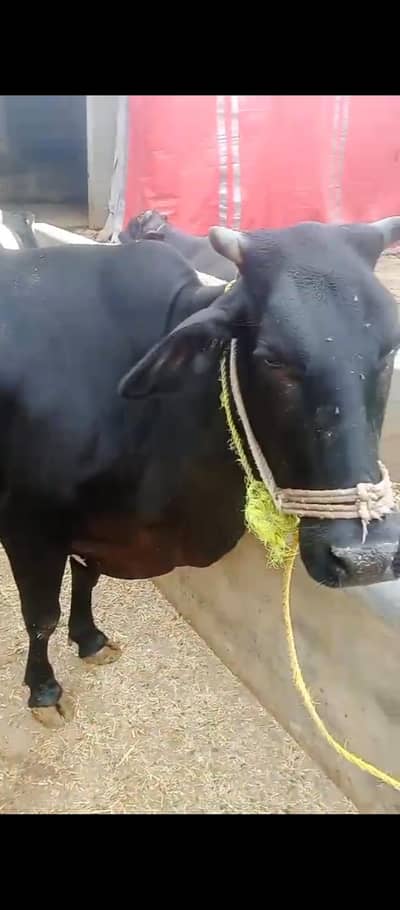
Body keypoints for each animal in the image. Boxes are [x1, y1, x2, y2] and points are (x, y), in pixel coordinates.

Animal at [0, 217, 400, 728]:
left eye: (388, 350)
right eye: (272, 358)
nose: (366, 559)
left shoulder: (91, 531)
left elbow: (86, 581)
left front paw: (90, 640)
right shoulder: (29, 527)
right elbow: (41, 615)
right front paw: (44, 691)